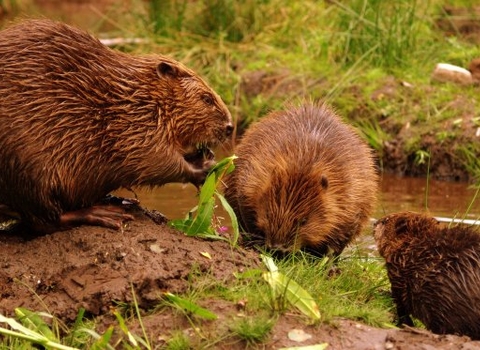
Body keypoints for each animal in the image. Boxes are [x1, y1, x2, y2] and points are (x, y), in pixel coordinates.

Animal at [0, 18, 232, 232]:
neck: (136, 95)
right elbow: (153, 160)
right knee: (44, 220)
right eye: (207, 99)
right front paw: (206, 167)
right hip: (26, 166)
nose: (230, 126)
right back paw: (107, 212)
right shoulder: (134, 125)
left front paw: (205, 155)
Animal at [224, 102, 378, 256]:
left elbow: (342, 233)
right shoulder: (253, 177)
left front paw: (324, 258)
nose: (278, 248)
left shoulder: (350, 196)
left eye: (304, 221)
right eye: (267, 213)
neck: (304, 162)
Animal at [374, 211, 480, 340]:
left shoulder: (397, 275)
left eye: (385, 221)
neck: (412, 243)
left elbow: (400, 304)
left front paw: (405, 324)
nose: (374, 223)